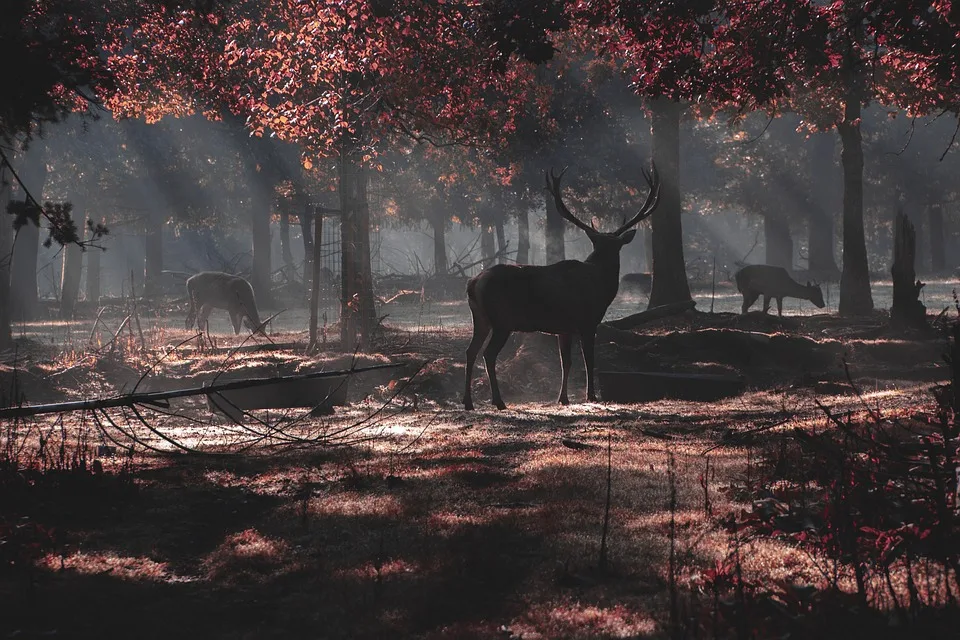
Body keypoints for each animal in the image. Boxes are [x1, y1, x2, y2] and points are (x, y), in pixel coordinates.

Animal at [460, 162, 660, 408]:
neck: (601, 286)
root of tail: (473, 282)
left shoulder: (564, 328)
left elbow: (566, 362)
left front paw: (563, 398)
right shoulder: (587, 321)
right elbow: (588, 359)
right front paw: (591, 395)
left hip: (480, 318)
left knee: (470, 351)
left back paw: (468, 402)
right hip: (502, 319)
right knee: (488, 354)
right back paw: (498, 401)